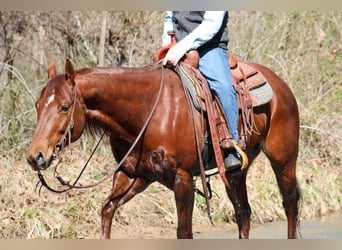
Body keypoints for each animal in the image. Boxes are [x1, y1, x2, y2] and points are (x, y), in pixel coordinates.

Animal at [26, 58, 300, 238]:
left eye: (64, 107)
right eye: (38, 105)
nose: (35, 156)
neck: (148, 112)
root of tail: (280, 84)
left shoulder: (183, 179)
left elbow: (184, 231)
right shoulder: (133, 175)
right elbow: (107, 211)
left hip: (283, 158)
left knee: (290, 203)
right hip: (235, 172)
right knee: (243, 213)